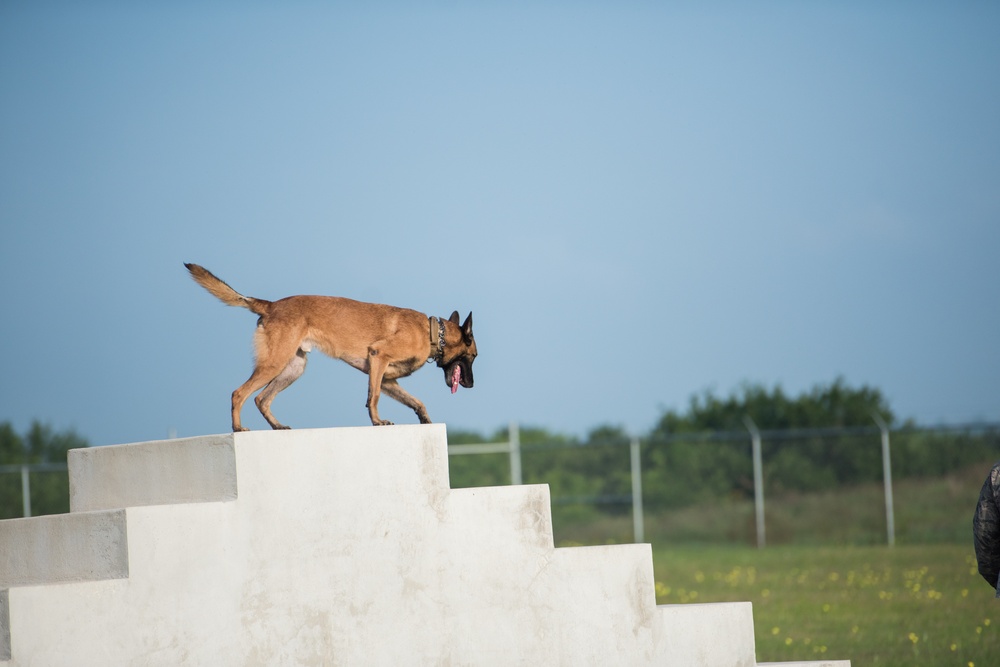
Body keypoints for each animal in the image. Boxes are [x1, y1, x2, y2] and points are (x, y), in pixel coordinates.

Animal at [184, 264, 476, 430]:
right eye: (473, 356)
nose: (472, 385)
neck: (432, 333)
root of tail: (271, 305)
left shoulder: (386, 378)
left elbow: (416, 401)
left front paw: (425, 420)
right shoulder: (378, 359)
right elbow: (373, 397)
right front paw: (377, 422)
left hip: (293, 368)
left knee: (261, 398)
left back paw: (277, 426)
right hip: (274, 364)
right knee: (239, 394)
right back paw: (238, 429)